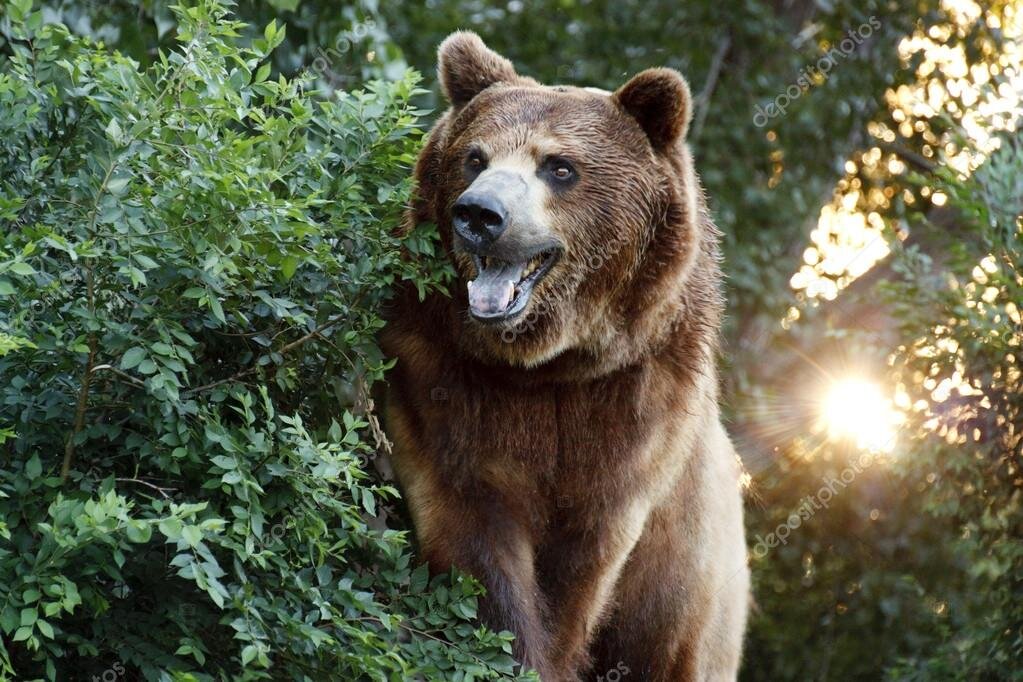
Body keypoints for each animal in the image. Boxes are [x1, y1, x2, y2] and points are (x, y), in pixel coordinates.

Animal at [380, 29, 748, 678]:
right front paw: (511, 645)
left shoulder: (635, 411)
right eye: (475, 157)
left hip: (693, 599)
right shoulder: (440, 378)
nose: (480, 214)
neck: (551, 363)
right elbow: (474, 529)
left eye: (559, 166)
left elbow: (581, 561)